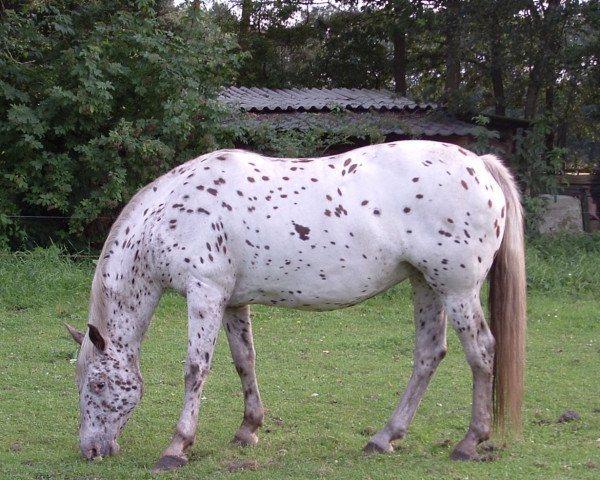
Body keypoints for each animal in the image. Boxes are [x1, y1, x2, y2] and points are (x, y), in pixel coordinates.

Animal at [65, 140, 524, 472]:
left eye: (99, 384)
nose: (91, 450)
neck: (171, 214)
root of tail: (480, 164)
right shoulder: (232, 302)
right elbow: (244, 360)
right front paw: (248, 429)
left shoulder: (205, 292)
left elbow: (196, 369)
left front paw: (177, 447)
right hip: (425, 284)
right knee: (429, 355)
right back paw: (385, 438)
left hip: (457, 289)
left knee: (481, 352)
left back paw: (469, 442)